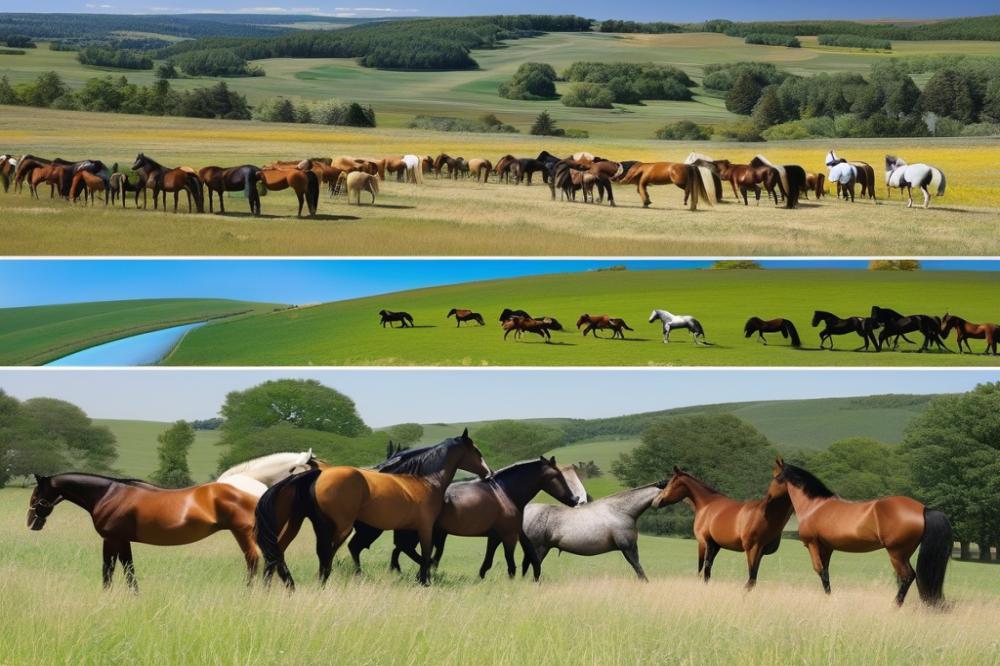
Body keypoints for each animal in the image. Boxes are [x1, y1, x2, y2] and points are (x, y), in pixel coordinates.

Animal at [27, 473, 259, 591]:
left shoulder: (110, 539)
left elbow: (108, 569)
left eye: (37, 493)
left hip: (243, 533)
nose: (30, 523)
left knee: (253, 560)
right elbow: (128, 568)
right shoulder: (123, 540)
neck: (108, 495)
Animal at [254, 430, 491, 588]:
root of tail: (318, 474)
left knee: (280, 551)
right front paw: (425, 580)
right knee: (328, 553)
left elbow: (412, 552)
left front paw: (418, 576)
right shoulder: (425, 527)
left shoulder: (408, 529)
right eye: (477, 452)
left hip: (303, 524)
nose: (488, 473)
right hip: (342, 528)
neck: (425, 481)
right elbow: (424, 554)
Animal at [388, 456, 580, 579]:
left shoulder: (496, 536)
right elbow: (511, 563)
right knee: (405, 548)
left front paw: (480, 578)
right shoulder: (509, 536)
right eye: (557, 476)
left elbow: (488, 561)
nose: (574, 499)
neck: (504, 492)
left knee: (401, 549)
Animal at [652, 467, 792, 589]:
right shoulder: (715, 545)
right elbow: (708, 570)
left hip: (753, 551)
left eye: (672, 484)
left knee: (751, 581)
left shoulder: (704, 543)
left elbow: (703, 569)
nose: (656, 502)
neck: (707, 504)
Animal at [766, 458, 951, 606]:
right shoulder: (826, 547)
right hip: (903, 554)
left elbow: (820, 571)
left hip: (896, 553)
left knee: (907, 577)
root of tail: (923, 508)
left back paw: (894, 606)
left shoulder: (812, 544)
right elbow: (826, 573)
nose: (768, 497)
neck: (815, 507)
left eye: (775, 477)